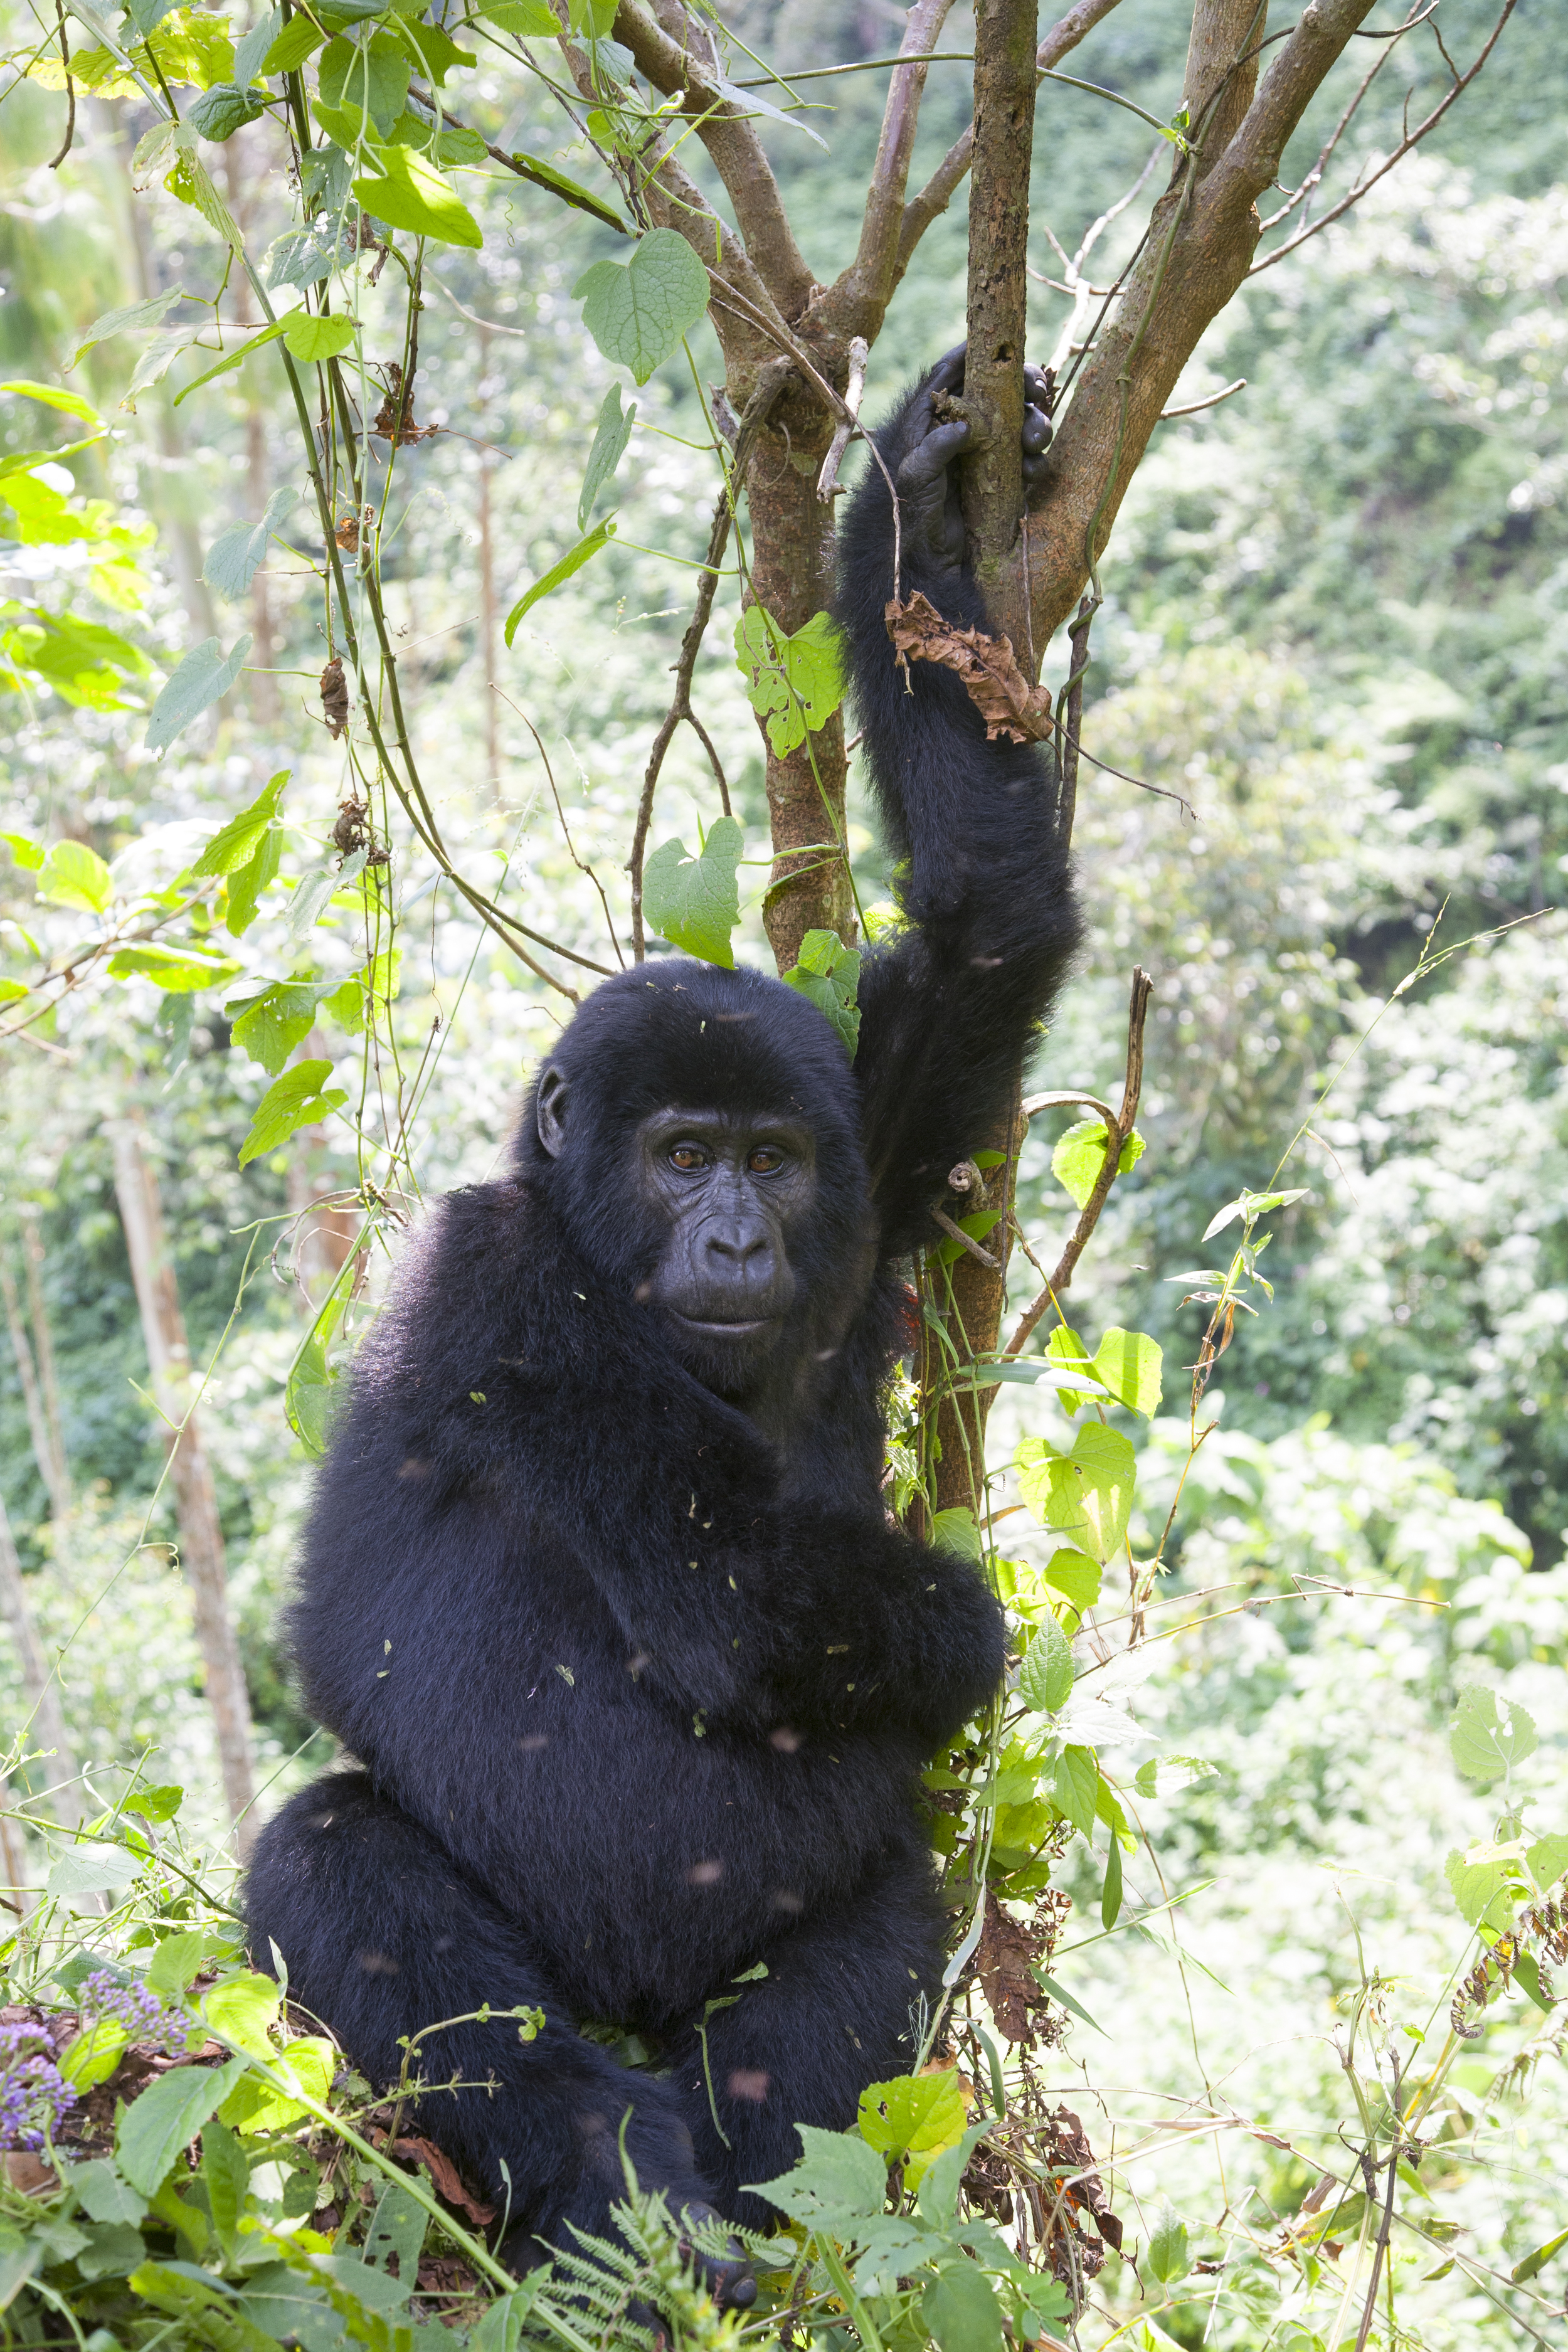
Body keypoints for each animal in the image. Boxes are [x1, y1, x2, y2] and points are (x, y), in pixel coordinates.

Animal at [248, 352, 1081, 2296]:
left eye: (769, 1158)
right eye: (679, 1152)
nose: (733, 1233)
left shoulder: (870, 1136)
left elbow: (987, 928)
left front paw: (925, 505)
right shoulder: (506, 1286)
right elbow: (731, 1587)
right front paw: (963, 1627)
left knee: (872, 1915)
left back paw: (770, 2226)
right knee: (334, 1856)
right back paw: (624, 2205)